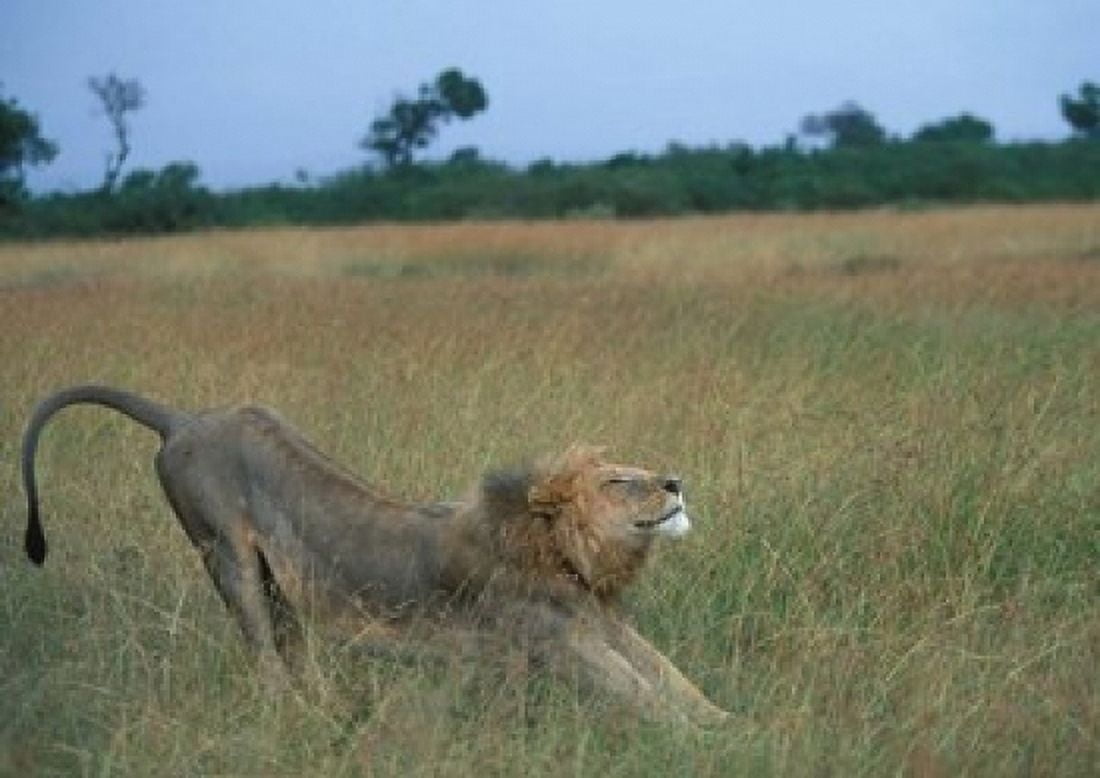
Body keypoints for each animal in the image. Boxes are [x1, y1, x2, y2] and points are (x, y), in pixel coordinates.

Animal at [21, 385, 729, 727]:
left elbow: (672, 678)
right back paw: (296, 717)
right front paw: (706, 742)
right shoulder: (555, 637)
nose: (675, 482)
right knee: (263, 654)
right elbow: (639, 692)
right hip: (225, 554)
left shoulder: (601, 620)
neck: (564, 555)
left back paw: (330, 709)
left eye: (639, 469)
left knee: (290, 647)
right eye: (619, 481)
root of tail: (184, 419)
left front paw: (727, 719)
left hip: (279, 583)